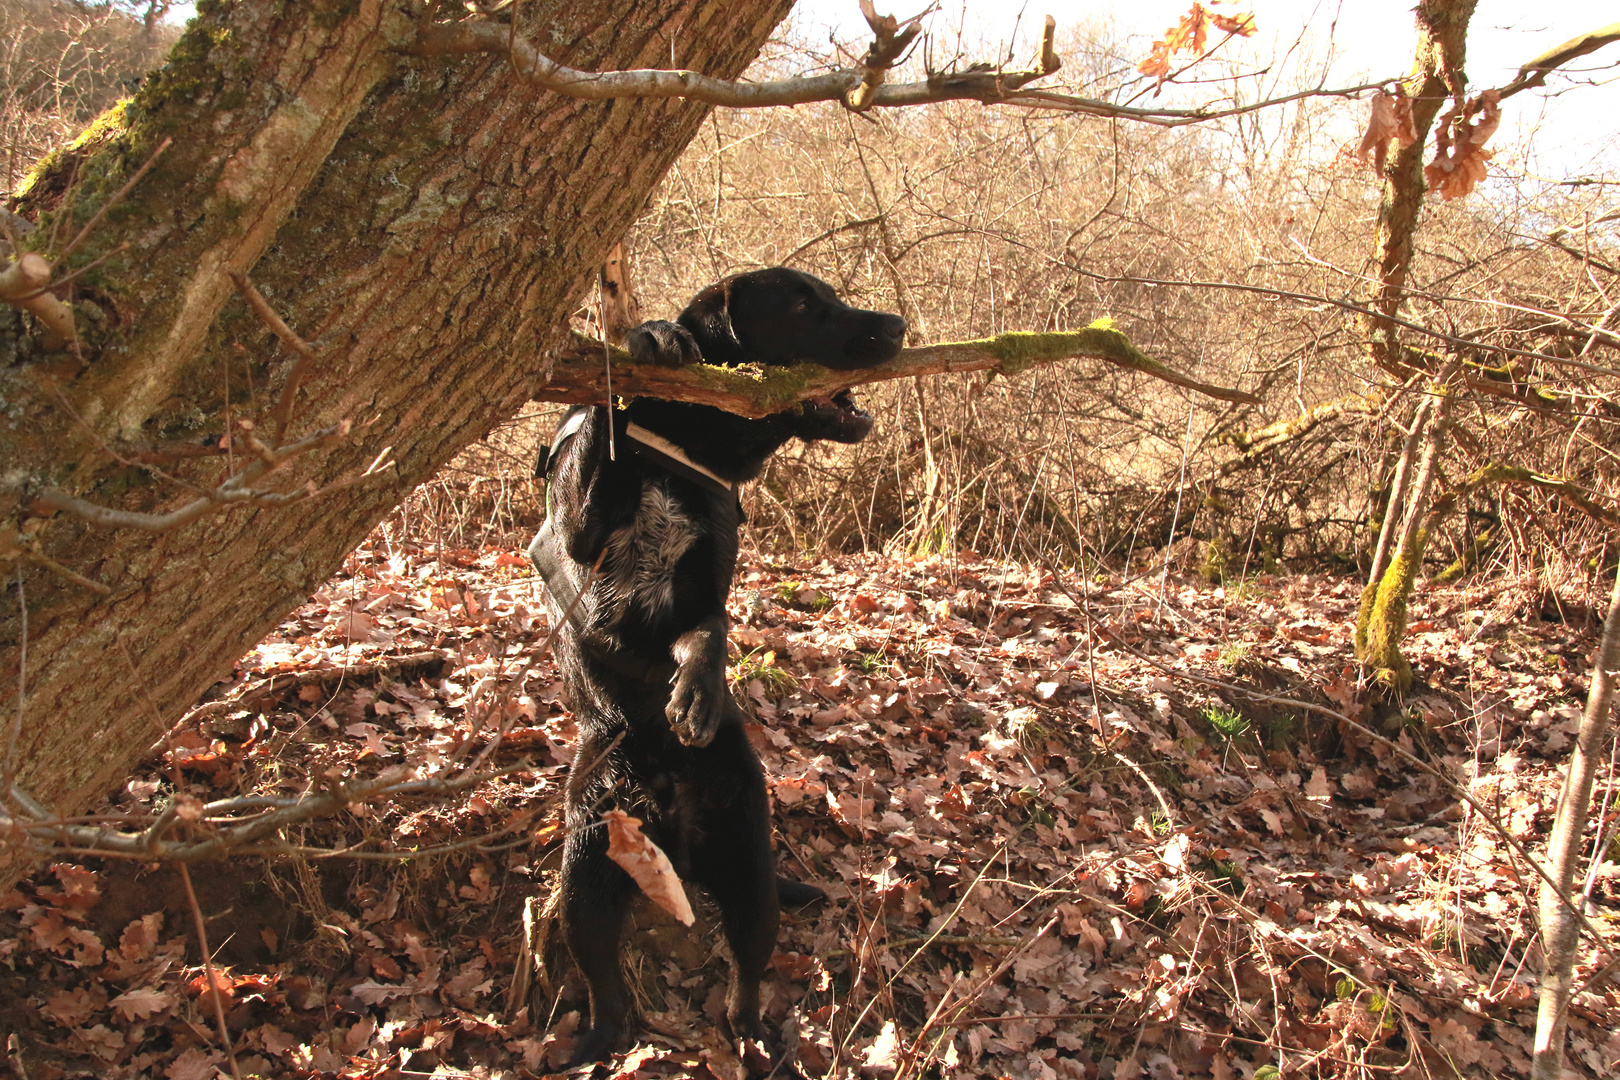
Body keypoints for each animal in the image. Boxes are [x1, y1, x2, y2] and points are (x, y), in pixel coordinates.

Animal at [531, 265, 913, 1062]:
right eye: (802, 304)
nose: (898, 325)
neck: (678, 446)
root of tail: (673, 831)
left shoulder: (701, 589)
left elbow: (710, 632)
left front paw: (697, 698)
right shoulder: (575, 537)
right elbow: (604, 429)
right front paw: (648, 342)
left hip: (746, 868)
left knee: (745, 977)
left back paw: (755, 1041)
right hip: (587, 866)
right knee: (608, 995)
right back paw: (590, 1048)